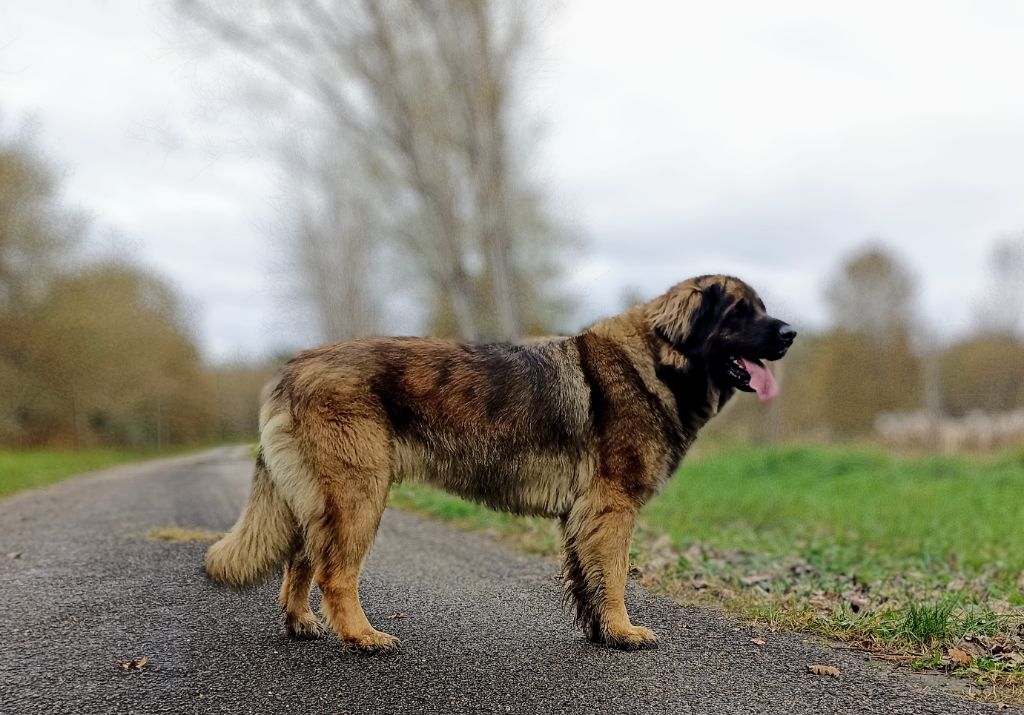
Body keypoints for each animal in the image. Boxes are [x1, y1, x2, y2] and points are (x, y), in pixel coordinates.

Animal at [203, 274, 794, 651]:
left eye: (763, 308)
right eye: (739, 313)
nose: (790, 333)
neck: (657, 362)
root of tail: (291, 368)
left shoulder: (583, 516)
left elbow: (589, 581)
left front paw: (601, 635)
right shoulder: (612, 508)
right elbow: (615, 576)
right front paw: (624, 633)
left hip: (323, 500)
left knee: (301, 560)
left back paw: (302, 624)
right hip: (358, 495)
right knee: (333, 572)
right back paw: (362, 637)